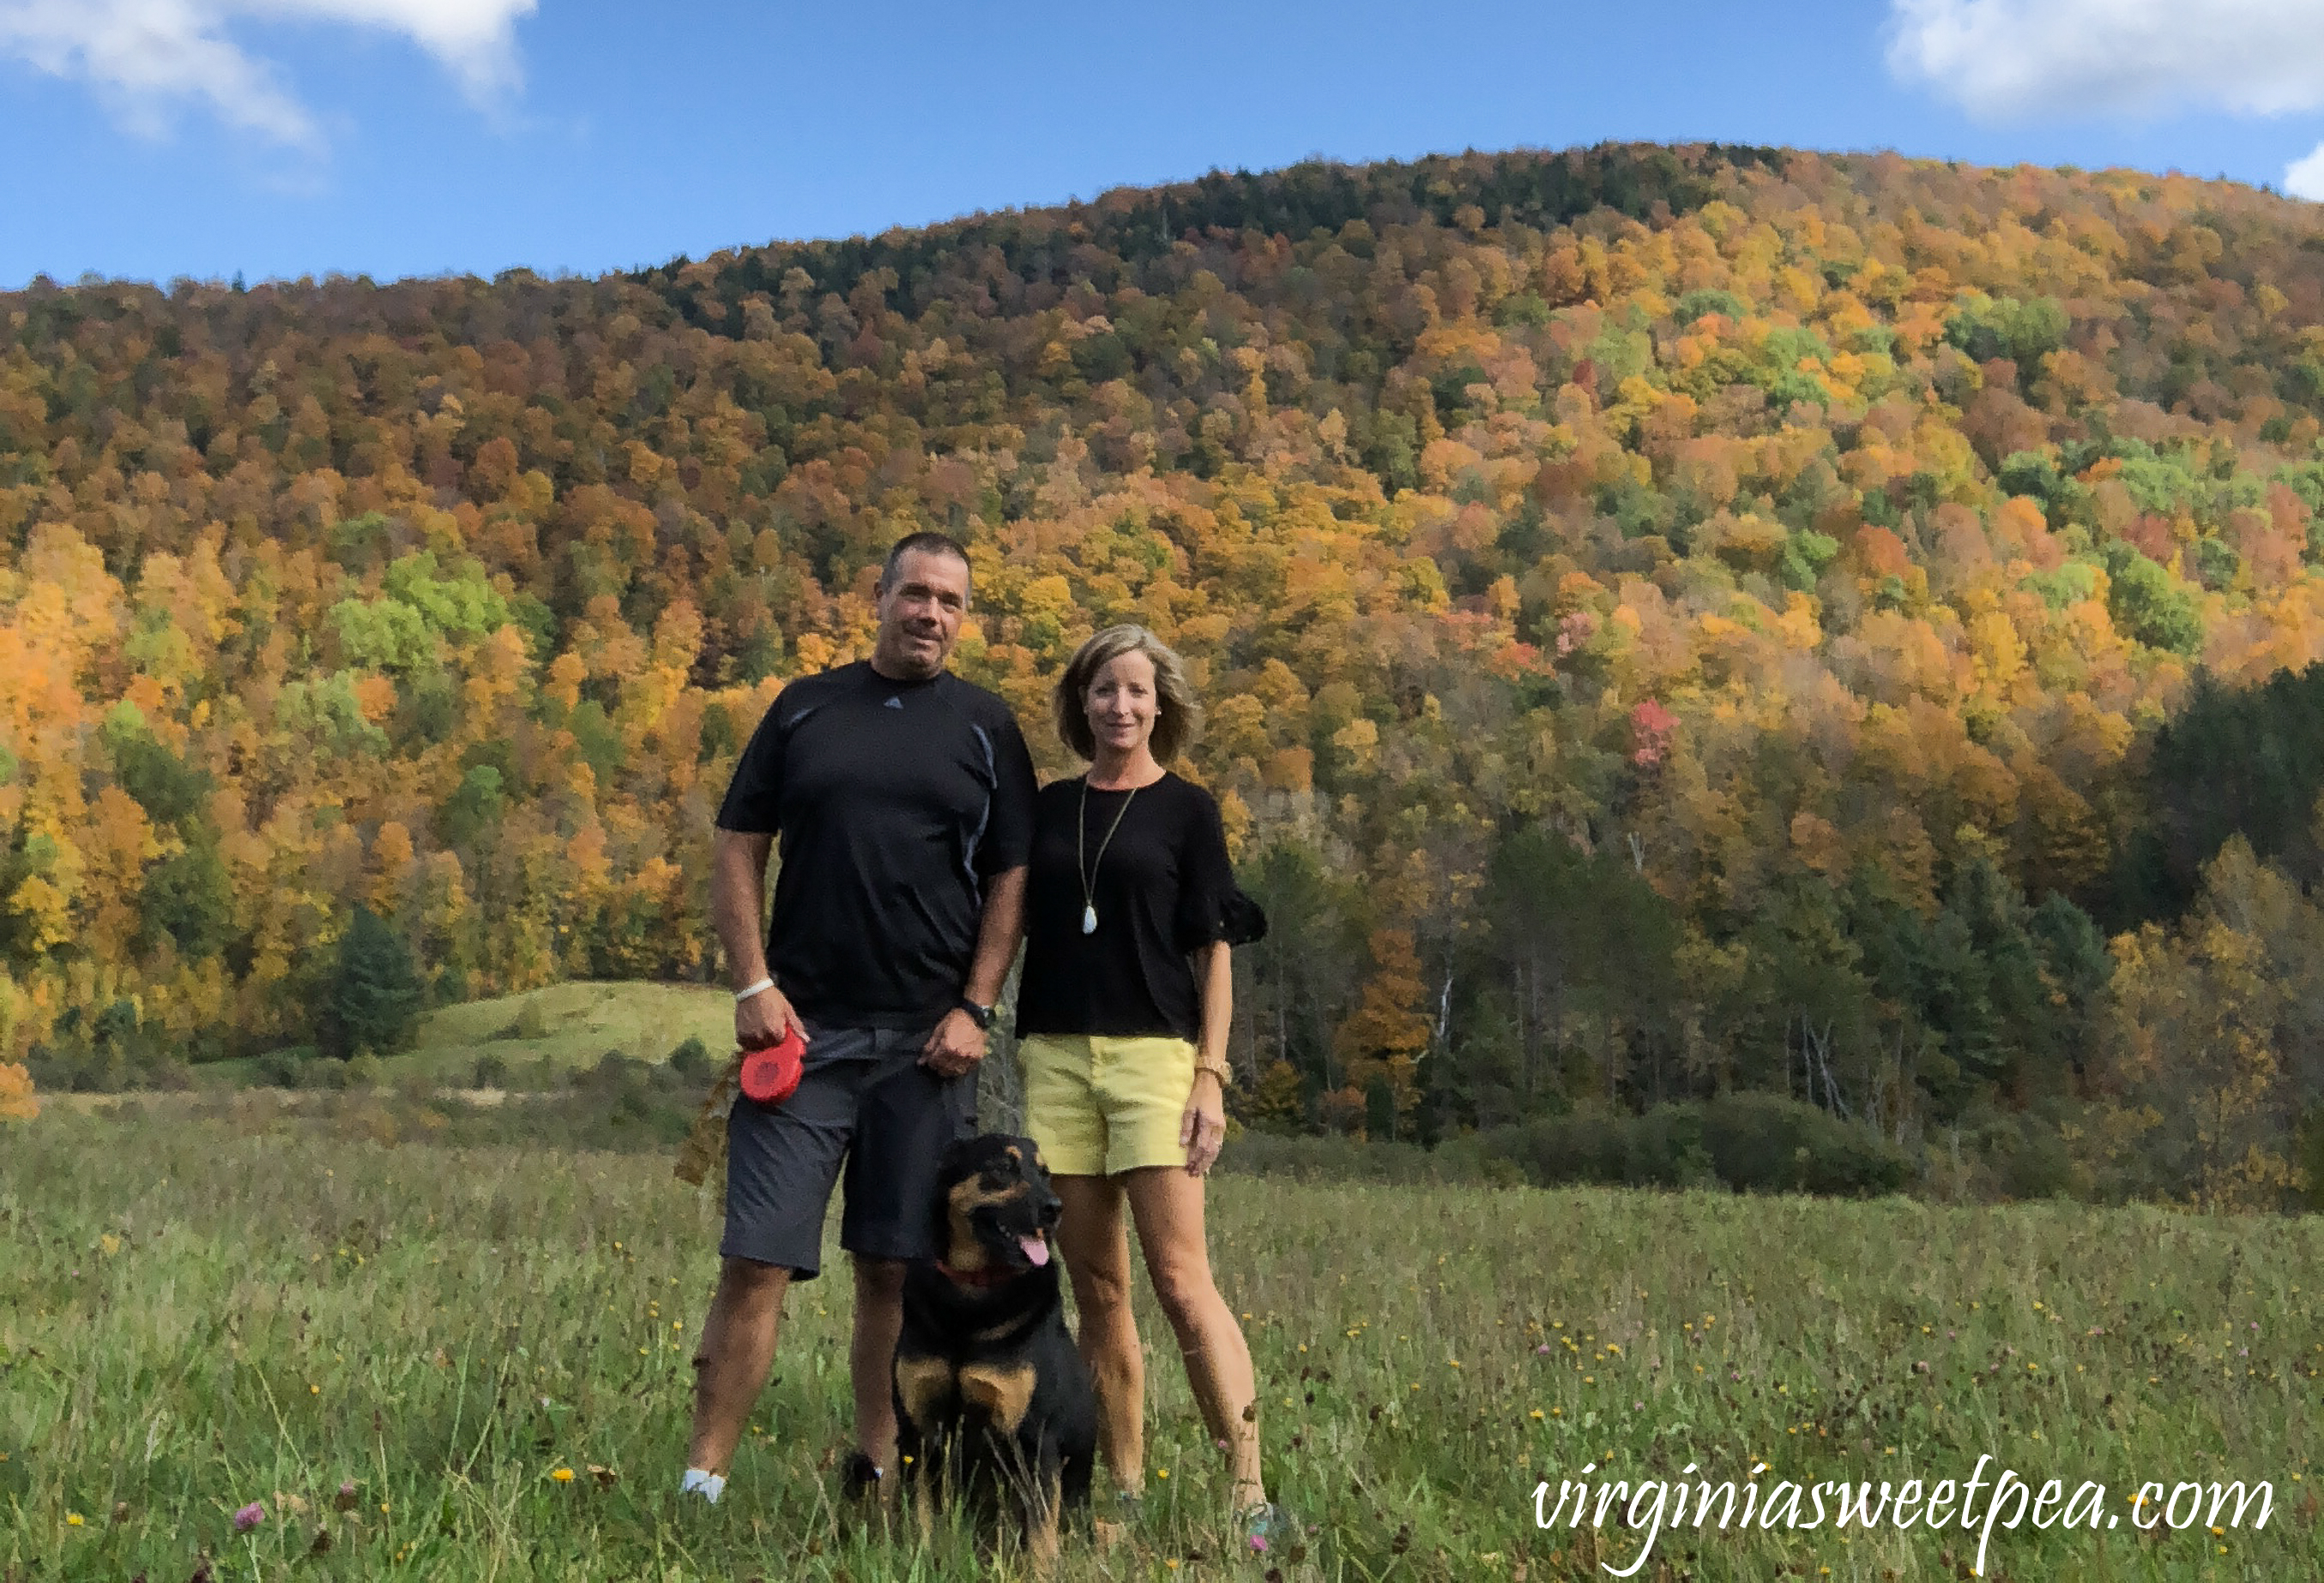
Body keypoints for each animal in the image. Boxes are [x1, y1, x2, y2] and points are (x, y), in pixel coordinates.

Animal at [892, 1129, 1102, 1562]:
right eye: (1003, 1168)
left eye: (1045, 1173)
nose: (1054, 1209)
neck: (973, 1295)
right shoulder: (918, 1428)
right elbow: (919, 1513)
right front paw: (918, 1557)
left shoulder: (1033, 1440)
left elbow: (1040, 1532)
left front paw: (1041, 1570)